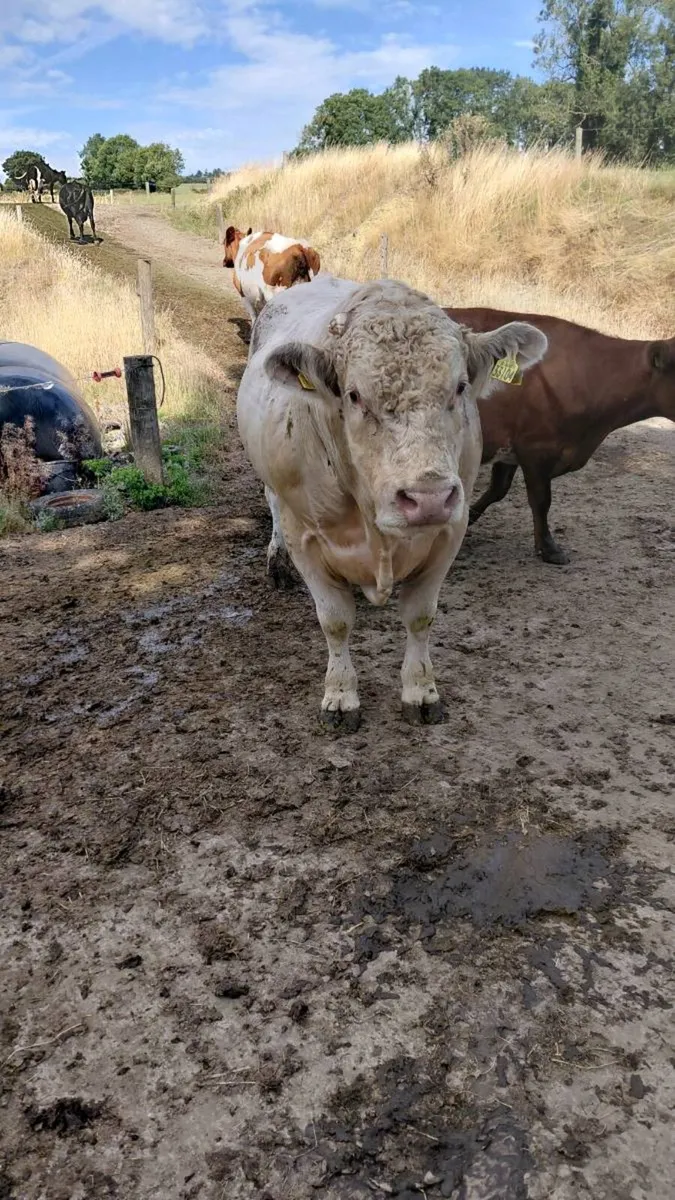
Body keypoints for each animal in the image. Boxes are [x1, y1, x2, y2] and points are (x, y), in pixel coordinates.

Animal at [237, 276, 547, 729]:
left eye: (460, 387)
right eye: (354, 395)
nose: (428, 498)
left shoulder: (449, 533)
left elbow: (420, 616)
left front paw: (421, 691)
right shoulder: (305, 538)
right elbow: (335, 622)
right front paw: (340, 695)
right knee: (272, 502)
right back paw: (276, 562)